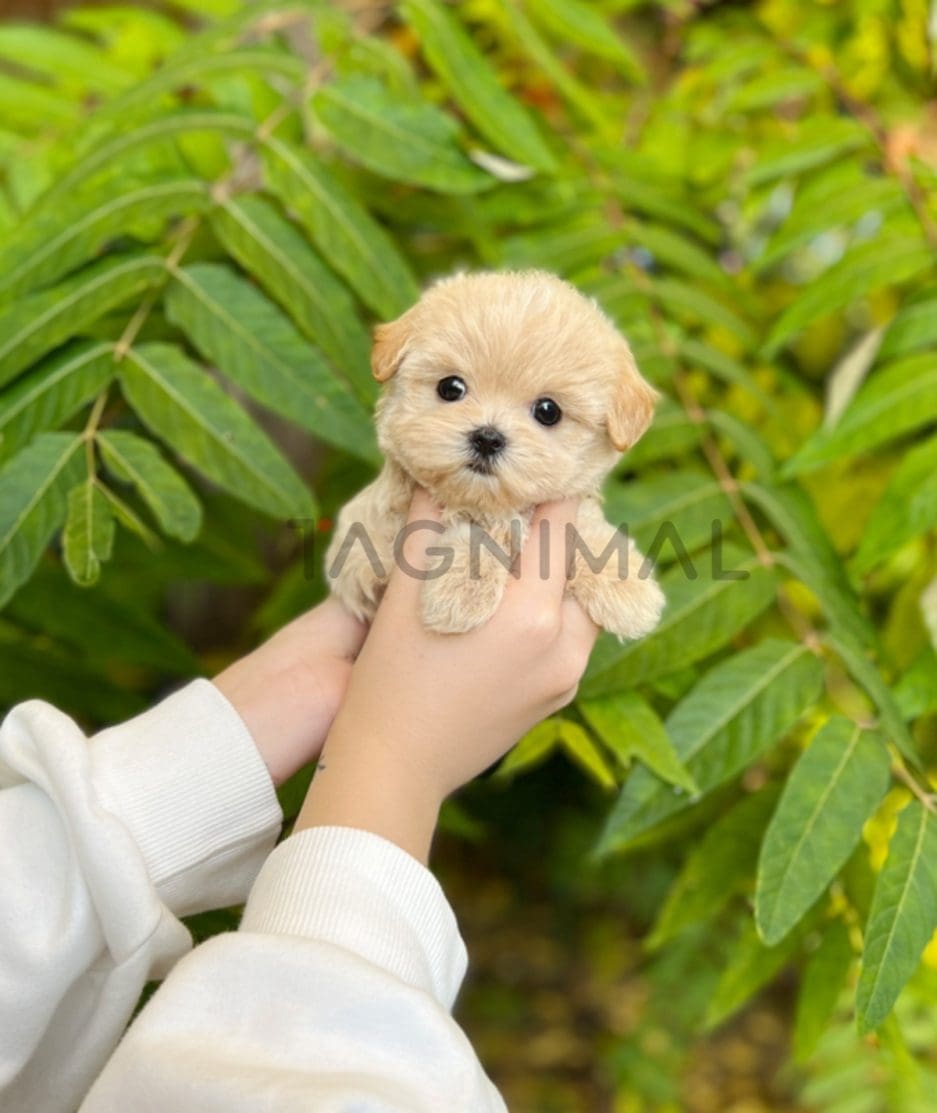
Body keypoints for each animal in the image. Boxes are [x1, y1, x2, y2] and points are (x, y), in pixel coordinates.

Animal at [320, 264, 663, 641]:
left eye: (548, 411)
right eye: (451, 388)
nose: (487, 438)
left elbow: (588, 528)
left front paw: (626, 584)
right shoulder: (368, 539)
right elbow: (473, 533)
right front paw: (462, 593)